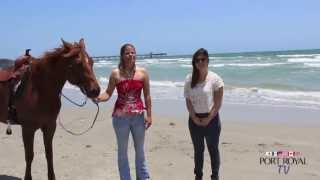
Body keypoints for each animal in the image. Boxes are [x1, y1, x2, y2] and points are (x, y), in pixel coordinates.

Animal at [0, 38, 100, 179]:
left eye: (91, 61)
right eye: (78, 63)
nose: (96, 90)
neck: (39, 90)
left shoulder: (50, 126)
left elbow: (49, 154)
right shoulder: (28, 129)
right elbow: (29, 156)